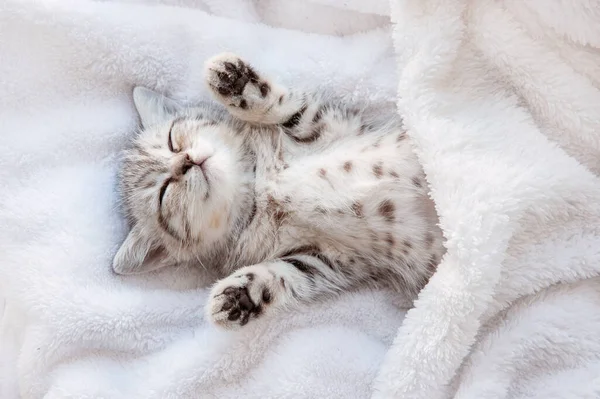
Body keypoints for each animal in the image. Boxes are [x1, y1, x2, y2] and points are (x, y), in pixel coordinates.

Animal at [113, 52, 446, 328]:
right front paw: (241, 296)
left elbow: (292, 108)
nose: (186, 162)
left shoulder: (335, 126)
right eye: (163, 194)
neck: (260, 186)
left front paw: (237, 82)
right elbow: (288, 275)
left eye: (172, 140)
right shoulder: (332, 259)